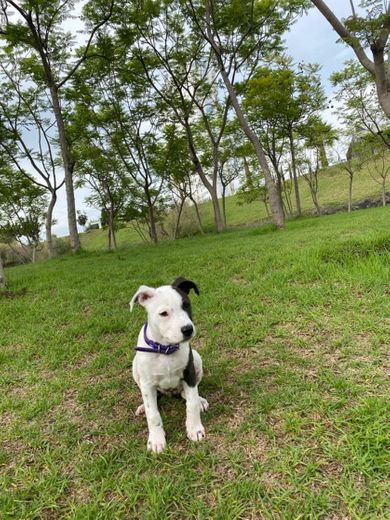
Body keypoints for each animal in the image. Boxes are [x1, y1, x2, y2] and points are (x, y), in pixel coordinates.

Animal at [129, 278, 209, 452]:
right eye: (163, 313)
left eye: (186, 305)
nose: (188, 329)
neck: (165, 349)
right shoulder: (147, 384)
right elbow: (153, 414)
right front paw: (156, 440)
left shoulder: (189, 373)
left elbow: (191, 403)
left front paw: (195, 429)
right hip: (135, 368)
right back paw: (143, 406)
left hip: (197, 359)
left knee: (188, 394)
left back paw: (200, 400)